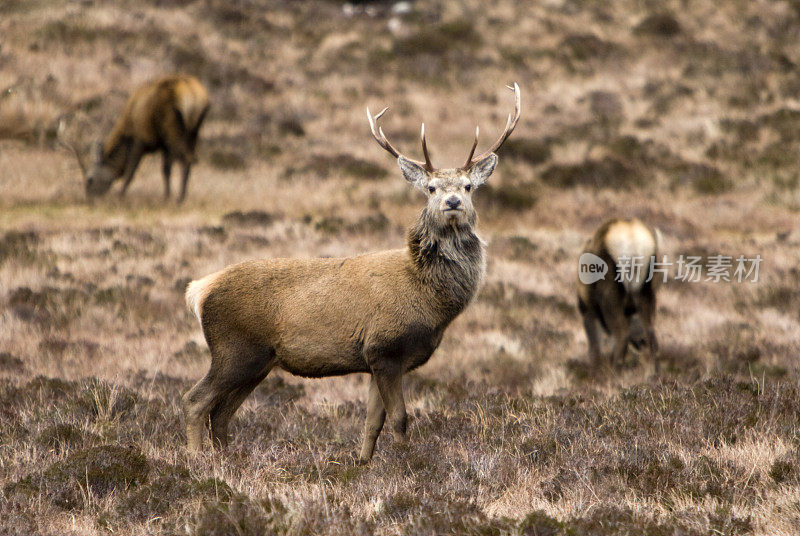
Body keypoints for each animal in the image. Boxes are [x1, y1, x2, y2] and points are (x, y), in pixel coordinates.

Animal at [60, 74, 209, 202]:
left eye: (89, 179)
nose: (89, 200)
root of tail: (193, 95)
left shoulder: (141, 139)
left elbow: (131, 171)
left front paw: (121, 195)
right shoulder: (162, 144)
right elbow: (165, 170)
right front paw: (166, 196)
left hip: (173, 127)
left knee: (186, 158)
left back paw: (180, 198)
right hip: (194, 130)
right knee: (189, 159)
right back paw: (181, 197)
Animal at [180, 82, 520, 460]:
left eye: (468, 186)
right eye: (431, 188)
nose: (453, 202)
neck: (428, 298)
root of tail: (199, 290)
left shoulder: (375, 359)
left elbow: (372, 423)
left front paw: (363, 464)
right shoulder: (386, 347)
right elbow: (400, 419)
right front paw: (406, 464)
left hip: (259, 360)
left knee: (221, 412)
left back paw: (227, 459)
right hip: (233, 348)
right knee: (195, 401)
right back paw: (196, 460)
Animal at [576, 220, 664, 370]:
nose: (639, 342)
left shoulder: (589, 310)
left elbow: (595, 349)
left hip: (610, 297)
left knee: (621, 334)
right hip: (646, 294)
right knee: (650, 333)